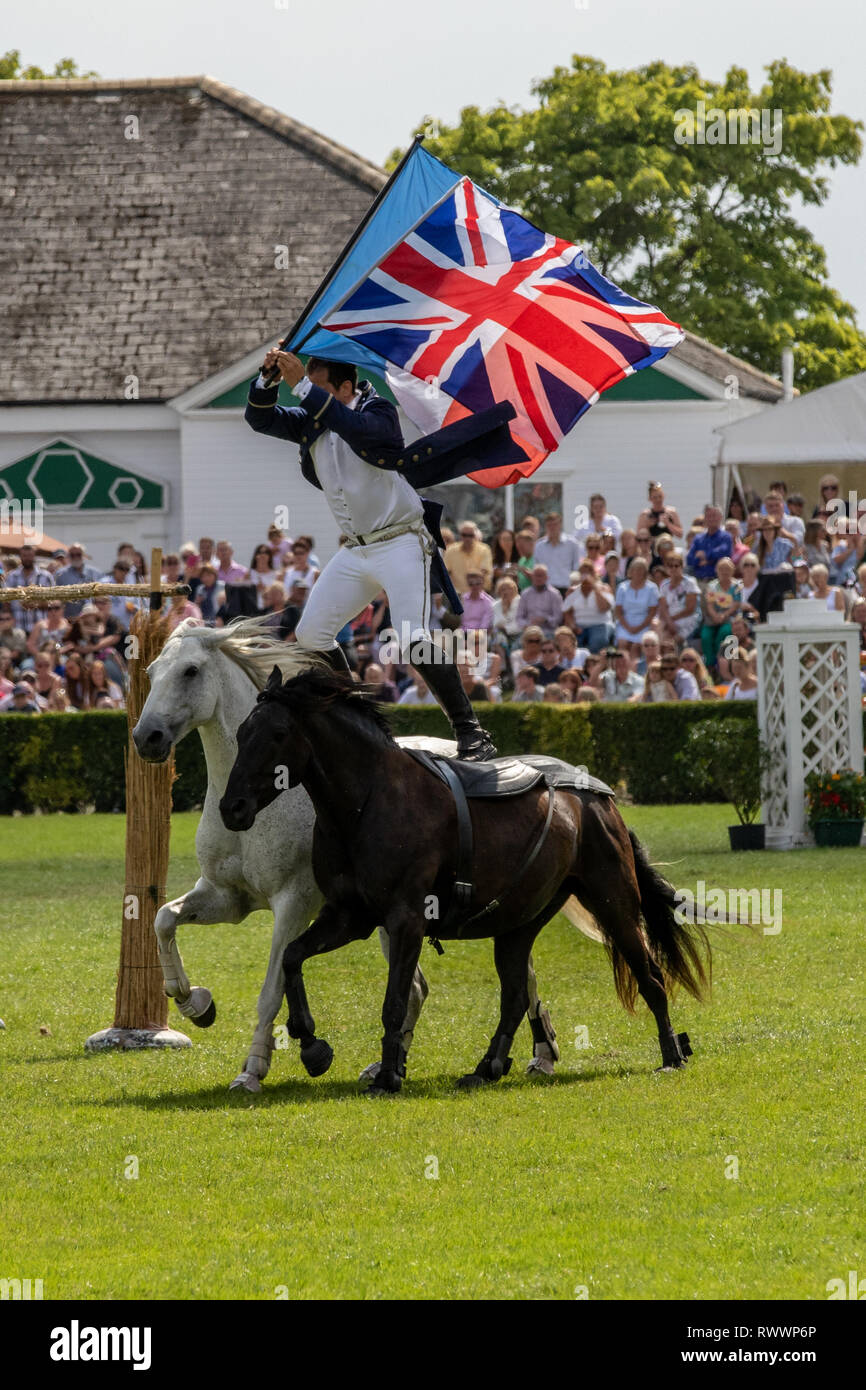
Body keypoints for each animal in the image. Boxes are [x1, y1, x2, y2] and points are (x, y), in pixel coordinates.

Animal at [135, 617, 600, 1084]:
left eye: (190, 671)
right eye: (152, 671)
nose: (146, 737)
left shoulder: (294, 903)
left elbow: (272, 987)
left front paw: (253, 1069)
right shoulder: (226, 897)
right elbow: (163, 920)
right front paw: (194, 1002)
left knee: (522, 980)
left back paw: (541, 1054)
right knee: (427, 986)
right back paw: (399, 1063)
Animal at [218, 664, 711, 1095]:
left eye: (277, 735)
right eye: (242, 733)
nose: (231, 807)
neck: (366, 803)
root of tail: (598, 796)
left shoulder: (405, 920)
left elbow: (394, 1002)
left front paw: (387, 1075)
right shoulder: (348, 916)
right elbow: (292, 958)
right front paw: (311, 1045)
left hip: (614, 904)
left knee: (650, 977)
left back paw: (671, 1054)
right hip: (517, 926)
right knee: (515, 996)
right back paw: (487, 1066)